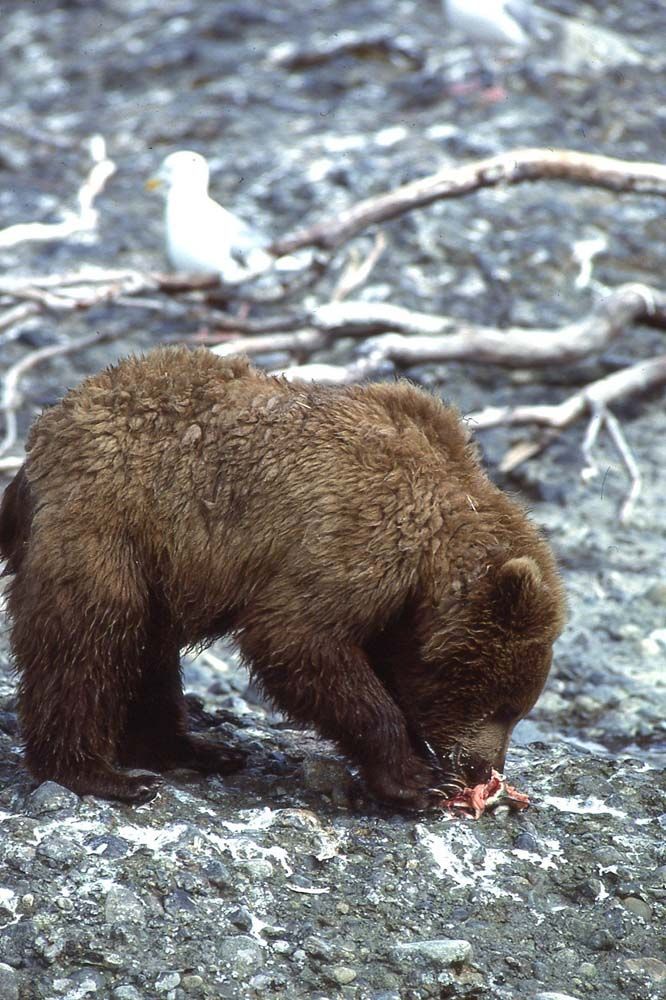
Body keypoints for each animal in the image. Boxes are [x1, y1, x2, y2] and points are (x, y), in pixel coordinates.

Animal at [0, 346, 566, 809]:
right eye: (500, 704)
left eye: (518, 707)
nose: (484, 769)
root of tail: (39, 442)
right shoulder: (356, 539)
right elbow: (297, 639)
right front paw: (416, 780)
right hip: (108, 526)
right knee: (88, 641)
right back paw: (102, 774)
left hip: (158, 563)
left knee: (146, 650)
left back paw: (195, 749)